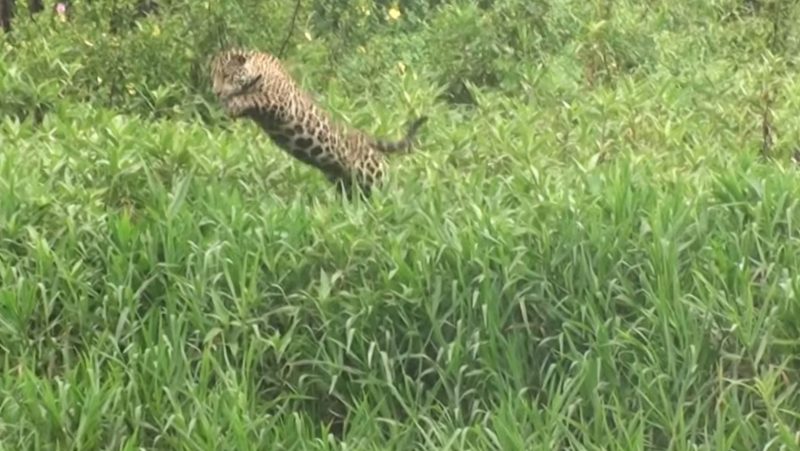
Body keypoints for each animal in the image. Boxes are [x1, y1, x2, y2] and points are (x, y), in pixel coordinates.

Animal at [209, 48, 428, 198]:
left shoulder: (280, 101)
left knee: (390, 187)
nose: (216, 92)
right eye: (214, 77)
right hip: (346, 183)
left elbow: (255, 97)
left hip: (373, 173)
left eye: (227, 75)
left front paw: (233, 103)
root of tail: (363, 137)